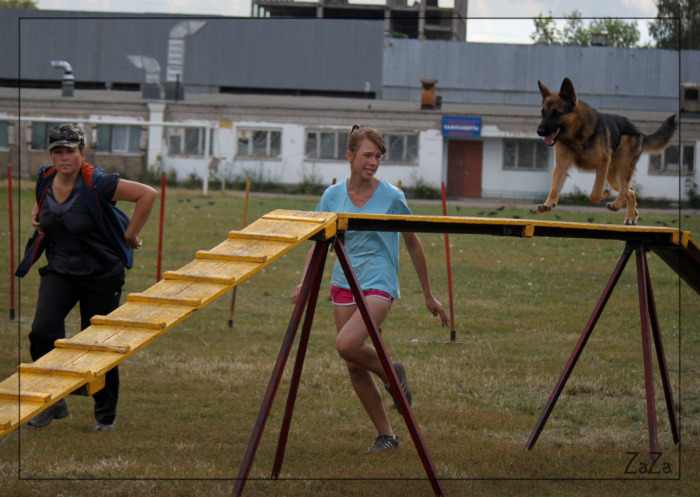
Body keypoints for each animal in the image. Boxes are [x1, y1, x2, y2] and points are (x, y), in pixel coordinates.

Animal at [536, 78, 680, 225]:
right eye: (543, 113)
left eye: (556, 113)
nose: (539, 131)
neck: (577, 134)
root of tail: (639, 132)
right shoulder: (561, 166)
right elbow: (554, 188)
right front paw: (549, 203)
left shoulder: (602, 163)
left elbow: (595, 193)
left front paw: (604, 193)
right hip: (613, 177)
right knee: (630, 190)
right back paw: (631, 216)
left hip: (622, 166)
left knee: (625, 190)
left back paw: (617, 205)